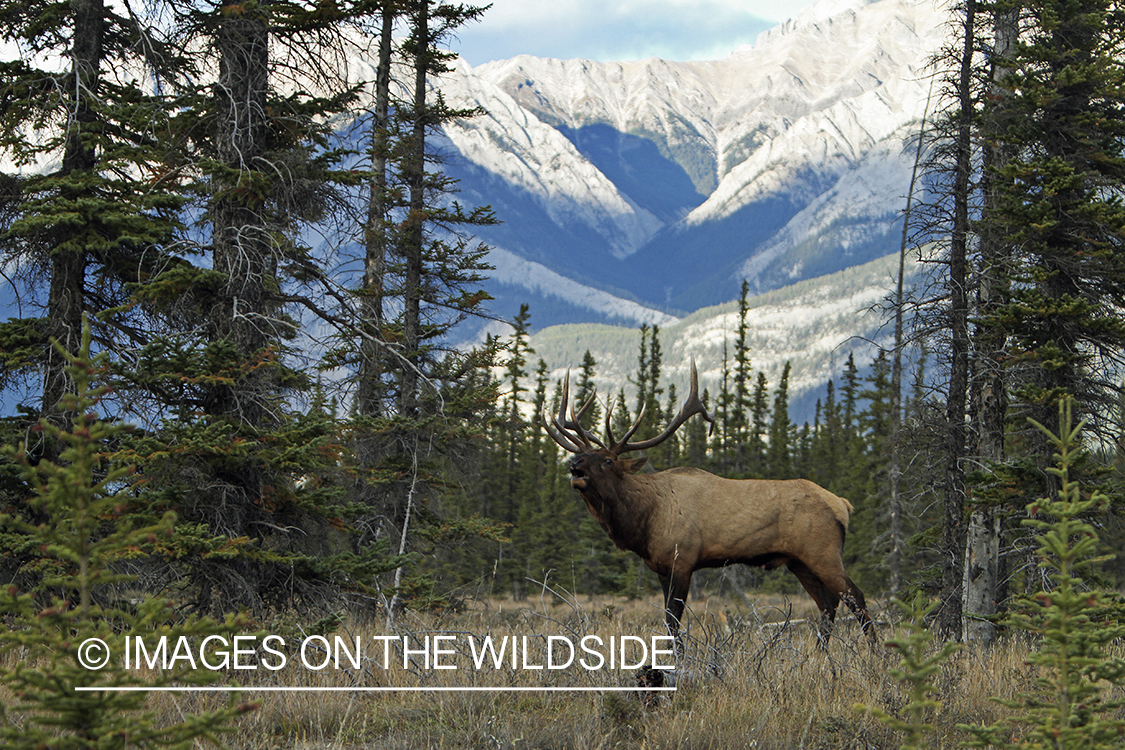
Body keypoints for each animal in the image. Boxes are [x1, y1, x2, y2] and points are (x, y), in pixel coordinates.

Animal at [544, 362, 877, 652]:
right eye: (582, 455)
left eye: (608, 460)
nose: (575, 465)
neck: (645, 521)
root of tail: (843, 505)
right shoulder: (661, 568)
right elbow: (669, 621)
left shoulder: (683, 560)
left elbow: (673, 620)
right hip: (799, 562)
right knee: (828, 605)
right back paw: (819, 656)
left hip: (823, 552)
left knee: (856, 598)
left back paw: (875, 656)